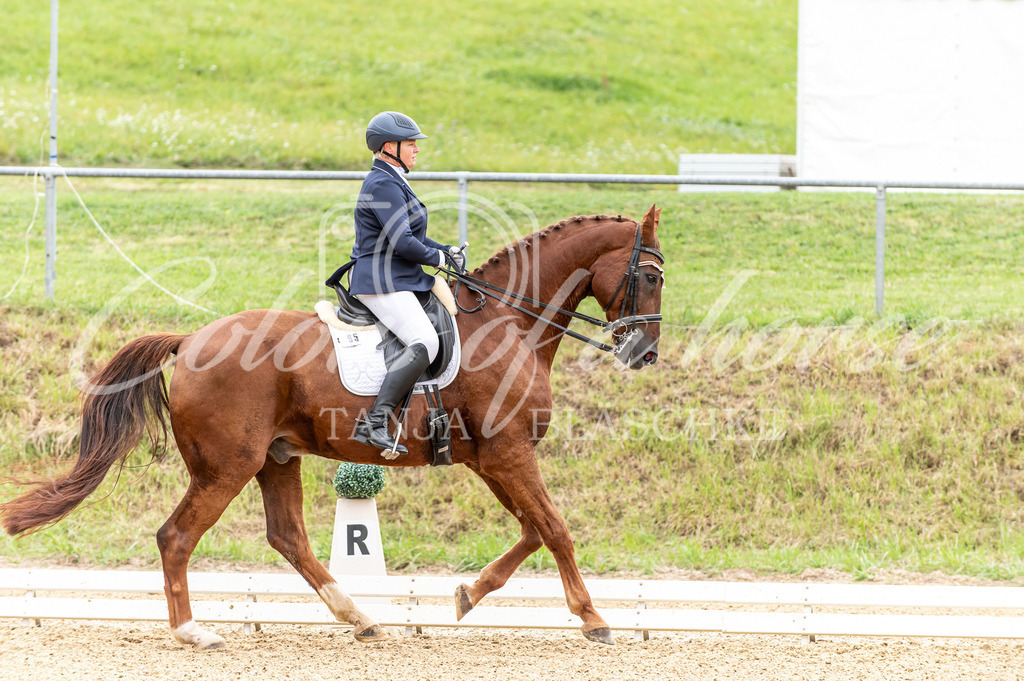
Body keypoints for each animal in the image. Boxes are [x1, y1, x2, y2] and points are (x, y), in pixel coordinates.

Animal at [2, 204, 663, 647]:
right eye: (652, 276)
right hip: (228, 466)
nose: (644, 354)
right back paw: (194, 632)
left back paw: (360, 618)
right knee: (177, 536)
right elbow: (554, 528)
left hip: (276, 457)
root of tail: (189, 341)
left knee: (287, 536)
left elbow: (531, 530)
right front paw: (594, 619)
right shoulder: (508, 454)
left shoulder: (493, 458)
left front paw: (467, 596)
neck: (508, 322)